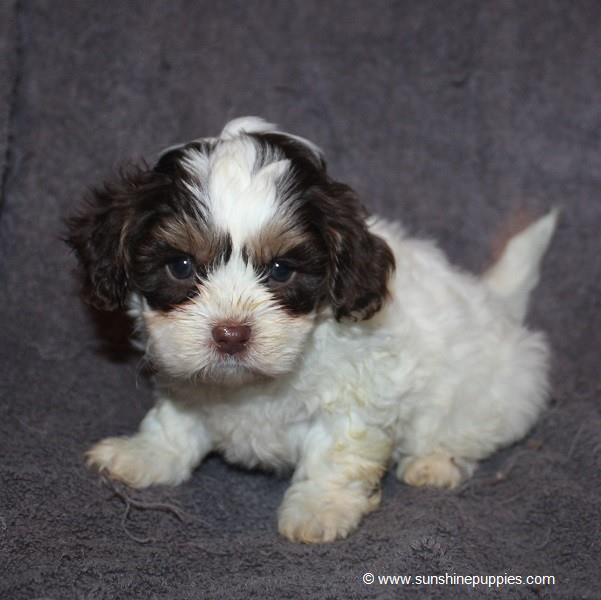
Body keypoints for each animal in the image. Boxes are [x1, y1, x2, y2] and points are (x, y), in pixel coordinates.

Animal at [68, 117, 556, 544]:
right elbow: (173, 422)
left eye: (282, 270)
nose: (231, 334)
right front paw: (144, 456)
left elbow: (336, 454)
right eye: (181, 265)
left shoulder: (357, 397)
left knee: (470, 431)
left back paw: (434, 463)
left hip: (496, 394)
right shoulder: (189, 378)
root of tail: (497, 303)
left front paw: (320, 509)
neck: (252, 384)